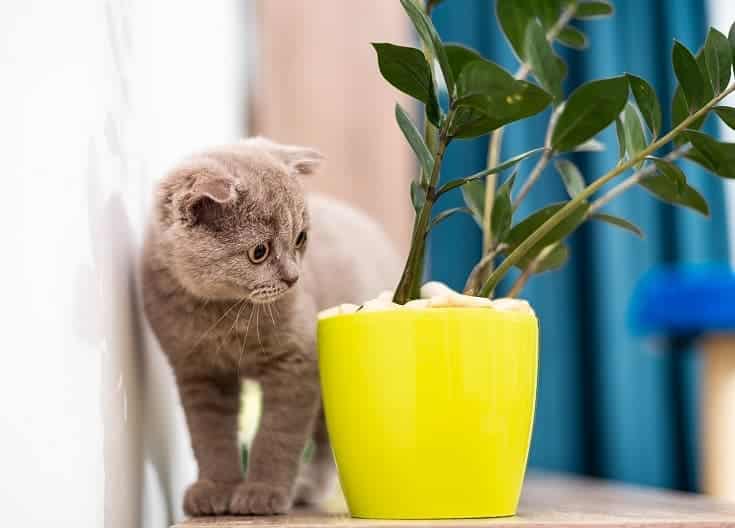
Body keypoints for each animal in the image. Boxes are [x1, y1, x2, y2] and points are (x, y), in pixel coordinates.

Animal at [140, 137, 400, 516]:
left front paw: (262, 492)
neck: (222, 315)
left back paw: (306, 488)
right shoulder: (198, 373)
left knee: (326, 443)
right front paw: (215, 489)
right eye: (259, 252)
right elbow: (210, 435)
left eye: (301, 238)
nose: (293, 278)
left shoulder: (296, 363)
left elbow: (277, 435)